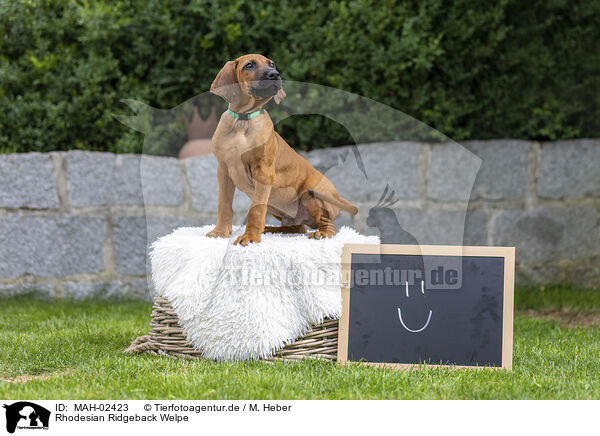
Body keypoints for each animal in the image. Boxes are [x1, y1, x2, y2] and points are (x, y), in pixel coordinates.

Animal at [207, 54, 356, 245]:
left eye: (272, 64)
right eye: (249, 65)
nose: (275, 74)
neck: (242, 121)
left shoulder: (263, 173)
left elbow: (255, 210)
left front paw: (250, 238)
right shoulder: (224, 170)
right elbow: (223, 203)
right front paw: (220, 232)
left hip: (310, 195)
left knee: (329, 225)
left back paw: (321, 233)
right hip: (276, 206)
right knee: (296, 228)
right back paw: (270, 229)